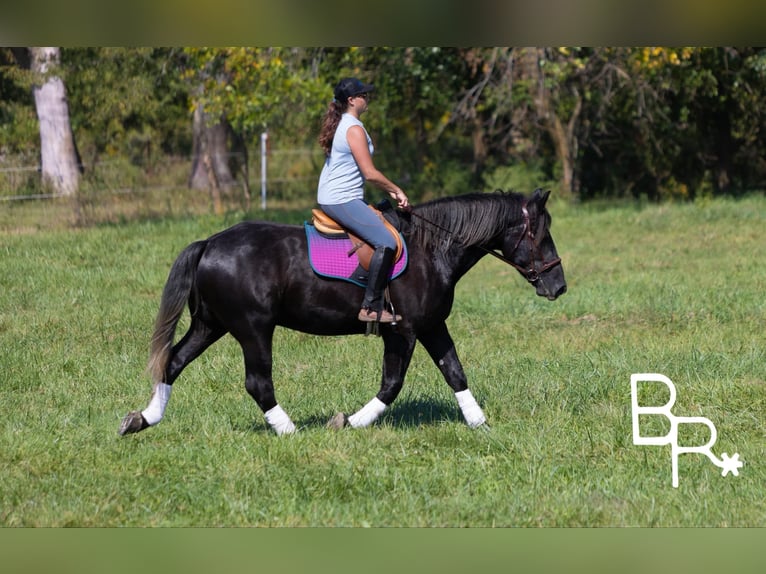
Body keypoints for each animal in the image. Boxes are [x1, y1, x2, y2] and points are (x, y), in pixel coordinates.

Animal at [119, 188, 566, 436]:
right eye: (540, 234)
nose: (558, 286)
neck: (432, 248)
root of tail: (210, 243)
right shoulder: (403, 331)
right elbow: (392, 384)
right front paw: (349, 422)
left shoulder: (432, 324)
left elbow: (455, 371)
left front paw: (479, 423)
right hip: (253, 329)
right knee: (257, 382)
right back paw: (290, 430)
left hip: (210, 324)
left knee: (173, 362)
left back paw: (143, 420)